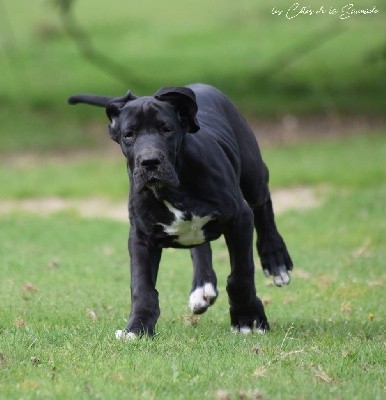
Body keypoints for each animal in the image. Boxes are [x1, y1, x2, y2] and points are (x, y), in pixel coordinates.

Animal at [68, 83, 292, 338]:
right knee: (200, 245)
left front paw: (247, 319)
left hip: (252, 172)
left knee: (263, 204)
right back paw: (202, 287)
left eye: (167, 129)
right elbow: (142, 287)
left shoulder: (240, 219)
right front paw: (137, 327)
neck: (172, 189)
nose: (150, 162)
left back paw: (276, 260)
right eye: (129, 134)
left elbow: (240, 275)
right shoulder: (141, 237)